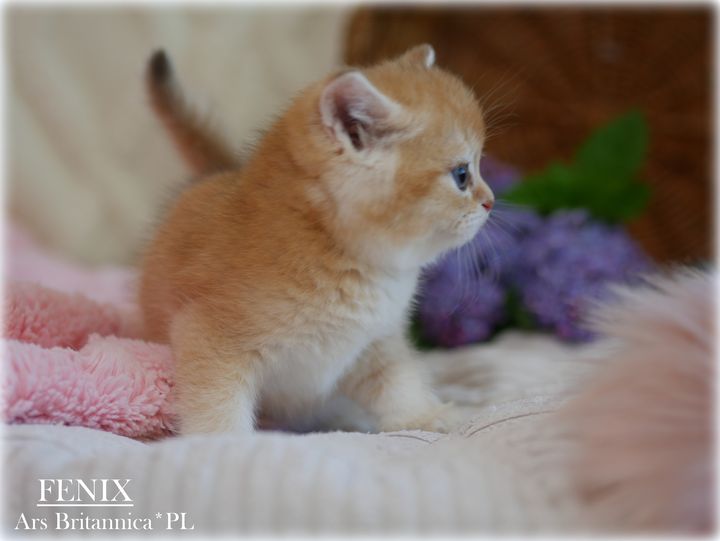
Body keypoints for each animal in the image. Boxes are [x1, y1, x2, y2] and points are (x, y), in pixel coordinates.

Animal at [139, 44, 495, 434]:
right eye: (461, 175)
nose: (491, 201)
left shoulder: (376, 341)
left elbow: (398, 381)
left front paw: (423, 416)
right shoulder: (207, 334)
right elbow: (215, 401)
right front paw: (223, 440)